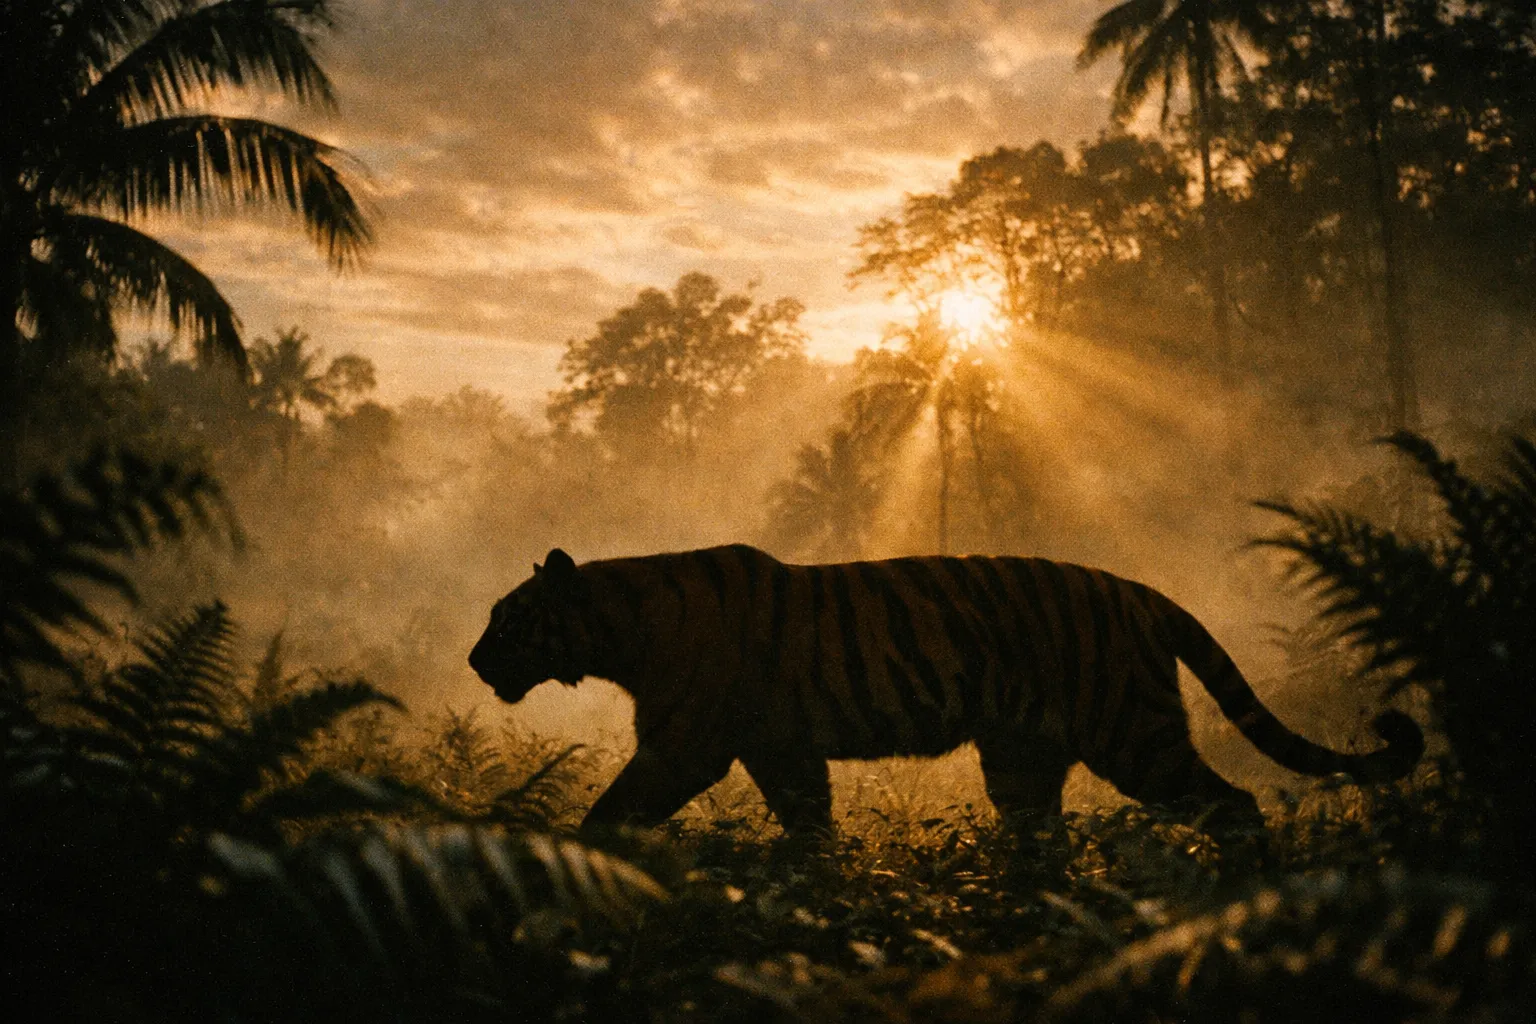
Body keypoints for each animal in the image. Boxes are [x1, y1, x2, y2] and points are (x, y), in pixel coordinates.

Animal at [468, 544, 1423, 836]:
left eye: (506, 620)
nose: (475, 662)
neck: (618, 630)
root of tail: (1139, 590)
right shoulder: (781, 750)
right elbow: (809, 829)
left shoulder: (682, 747)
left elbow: (610, 811)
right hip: (1023, 755)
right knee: (1040, 839)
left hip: (1133, 734)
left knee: (1235, 804)